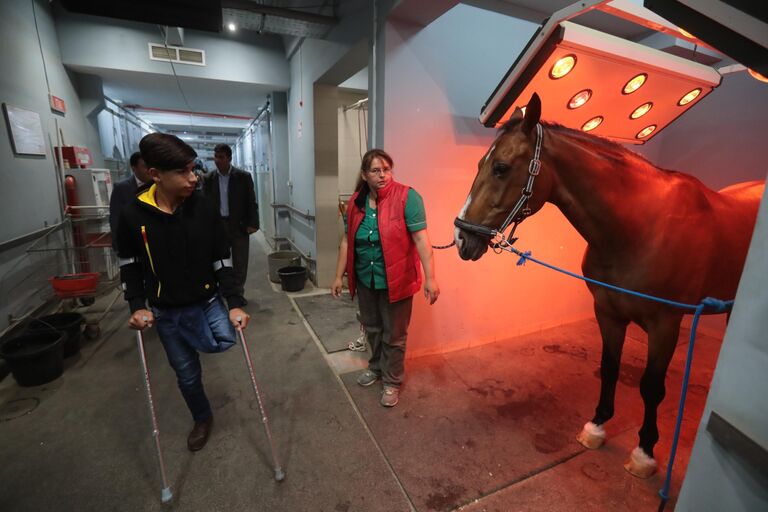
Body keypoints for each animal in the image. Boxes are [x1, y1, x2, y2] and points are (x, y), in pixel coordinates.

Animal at [456, 91, 760, 476]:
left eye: (501, 167)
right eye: (483, 163)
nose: (461, 237)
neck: (640, 229)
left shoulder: (666, 326)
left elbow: (651, 387)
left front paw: (644, 451)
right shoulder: (607, 313)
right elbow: (609, 368)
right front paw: (597, 426)